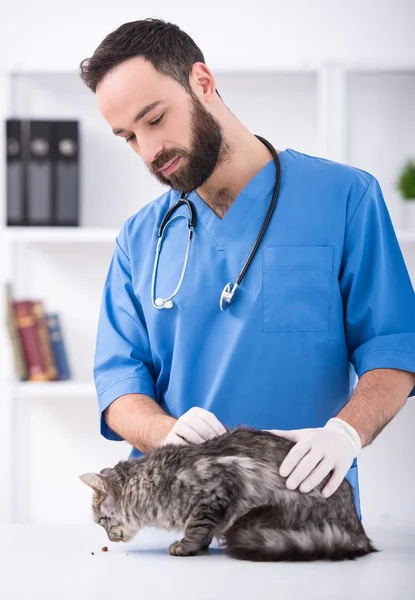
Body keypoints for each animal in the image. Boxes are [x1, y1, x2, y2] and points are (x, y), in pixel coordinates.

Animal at [79, 424, 378, 560]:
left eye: (102, 521)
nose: (110, 538)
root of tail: (357, 530)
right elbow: (203, 531)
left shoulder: (215, 491)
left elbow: (197, 528)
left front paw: (185, 546)